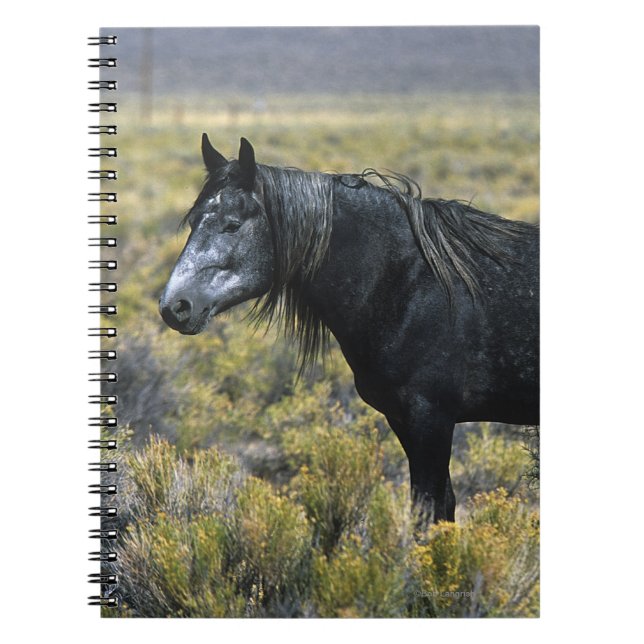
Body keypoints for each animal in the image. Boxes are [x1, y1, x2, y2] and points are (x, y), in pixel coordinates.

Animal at [160, 135, 539, 523]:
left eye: (233, 224)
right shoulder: (404, 420)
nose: (175, 306)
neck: (412, 282)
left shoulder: (431, 419)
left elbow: (429, 508)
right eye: (193, 221)